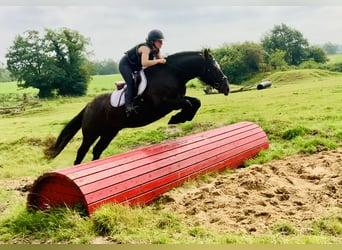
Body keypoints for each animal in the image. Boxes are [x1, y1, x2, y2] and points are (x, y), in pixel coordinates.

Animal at [46, 49, 230, 165]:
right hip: (92, 132)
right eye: (214, 68)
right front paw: (177, 118)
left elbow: (195, 102)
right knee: (82, 151)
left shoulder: (177, 98)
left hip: (110, 131)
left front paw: (181, 117)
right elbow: (188, 103)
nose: (226, 87)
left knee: (97, 150)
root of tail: (88, 106)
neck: (172, 73)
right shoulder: (163, 104)